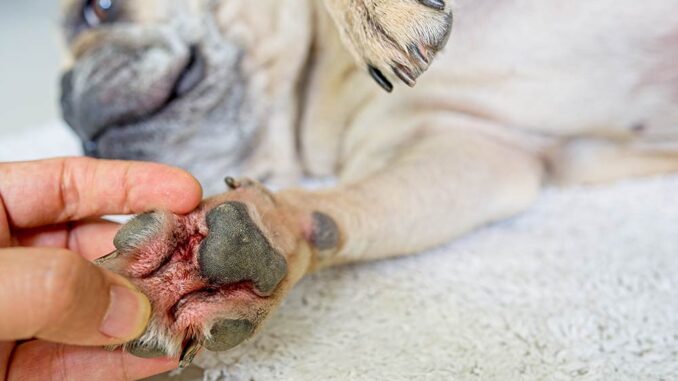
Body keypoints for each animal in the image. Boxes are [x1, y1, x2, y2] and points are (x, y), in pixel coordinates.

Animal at [59, 0, 678, 368]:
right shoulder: (474, 150)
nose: (68, 109)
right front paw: (223, 255)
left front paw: (376, 16)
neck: (321, 77)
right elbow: (337, 213)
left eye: (97, 9)